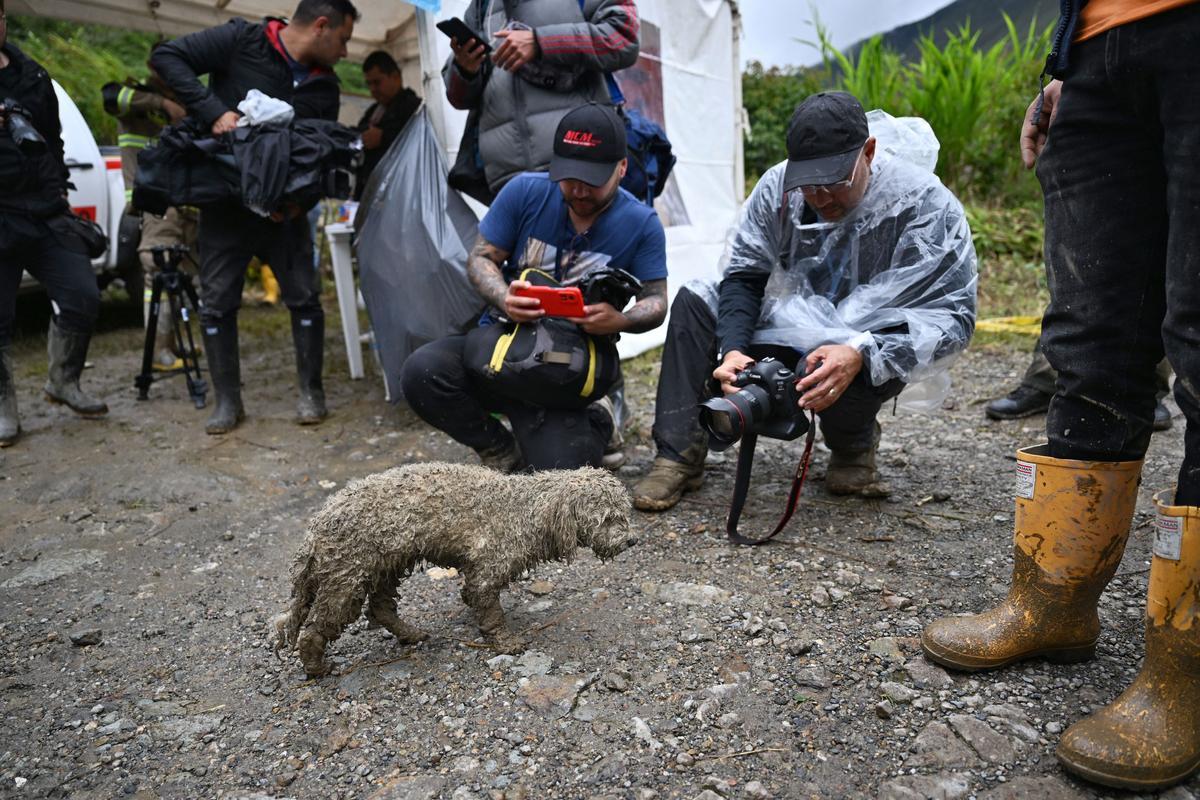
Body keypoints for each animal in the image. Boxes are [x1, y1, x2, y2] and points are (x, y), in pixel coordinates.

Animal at [274, 462, 638, 676]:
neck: (525, 510)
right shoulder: (486, 571)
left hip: (387, 565)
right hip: (346, 578)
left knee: (380, 608)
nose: (632, 540)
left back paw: (409, 633)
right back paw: (317, 667)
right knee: (314, 628)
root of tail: (317, 526)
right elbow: (490, 610)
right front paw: (506, 643)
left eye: (625, 512)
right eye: (608, 518)